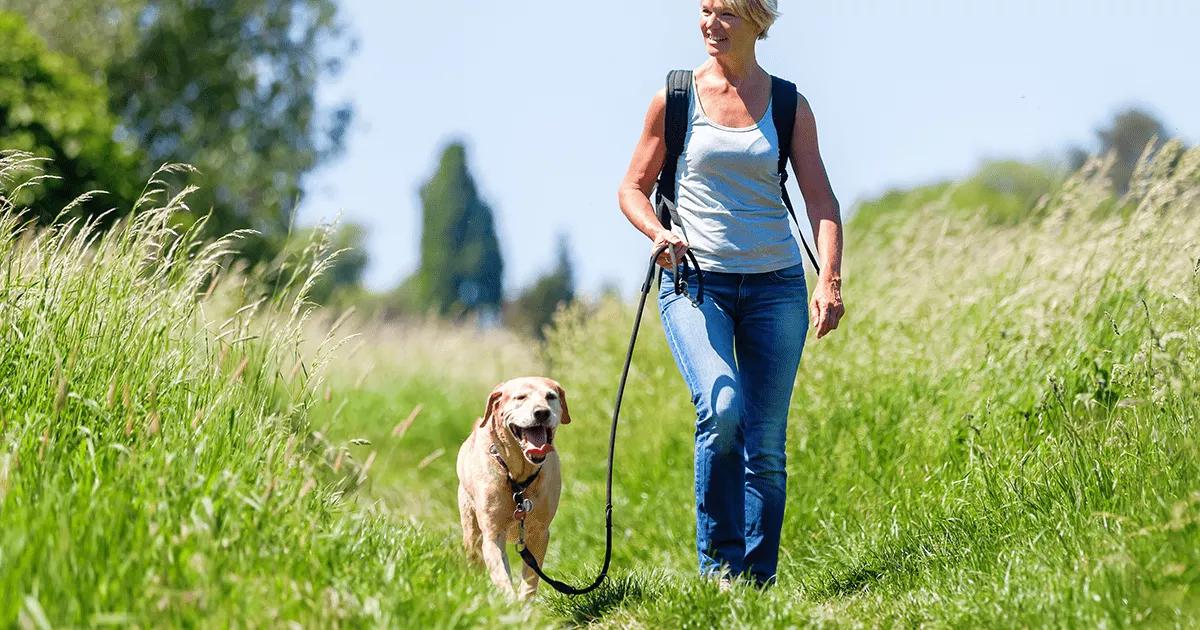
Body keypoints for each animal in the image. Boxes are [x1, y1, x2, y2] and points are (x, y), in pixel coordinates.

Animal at [458, 376, 571, 597]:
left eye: (550, 396)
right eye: (520, 397)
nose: (541, 412)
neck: (518, 478)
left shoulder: (539, 534)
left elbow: (530, 580)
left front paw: (524, 602)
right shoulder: (493, 535)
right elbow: (502, 577)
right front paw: (509, 602)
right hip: (471, 528)